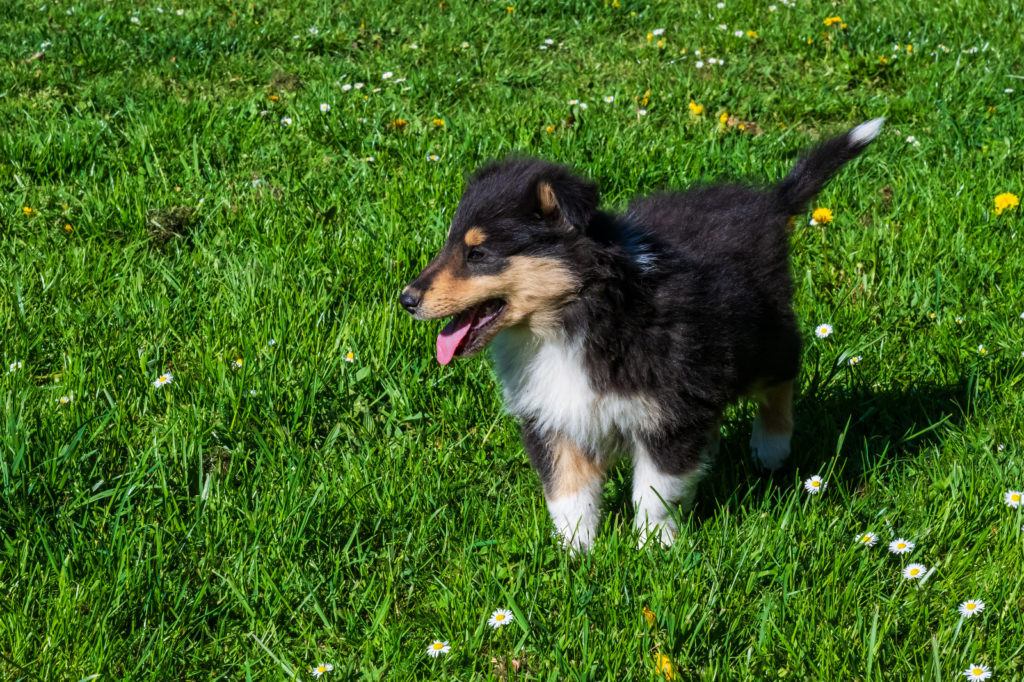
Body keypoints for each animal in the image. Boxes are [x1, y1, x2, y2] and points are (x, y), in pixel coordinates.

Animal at [400, 118, 883, 551]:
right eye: (449, 244)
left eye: (478, 254)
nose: (406, 299)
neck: (573, 318)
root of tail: (767, 202)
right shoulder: (552, 414)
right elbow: (567, 493)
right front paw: (576, 555)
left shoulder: (669, 408)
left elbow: (655, 491)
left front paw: (654, 551)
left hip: (760, 336)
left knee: (784, 370)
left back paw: (771, 448)